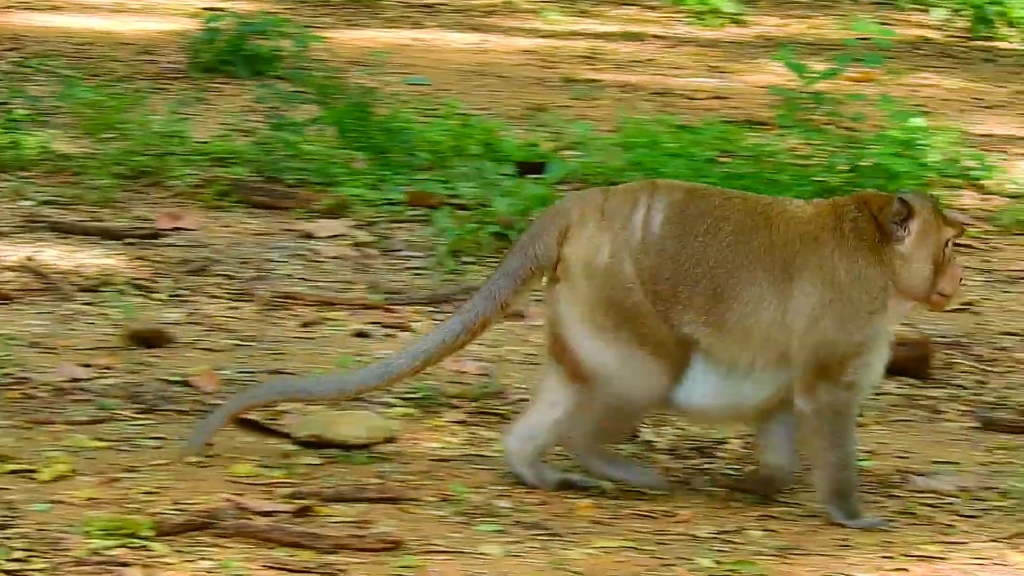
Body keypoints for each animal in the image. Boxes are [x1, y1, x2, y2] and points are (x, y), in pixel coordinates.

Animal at [186, 179, 966, 528]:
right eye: (952, 243)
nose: (959, 277)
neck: (876, 252)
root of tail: (584, 203)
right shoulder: (845, 335)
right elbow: (826, 408)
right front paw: (852, 512)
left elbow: (778, 412)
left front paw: (760, 483)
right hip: (620, 299)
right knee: (642, 381)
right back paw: (606, 461)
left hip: (585, 305)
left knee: (570, 388)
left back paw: (534, 466)